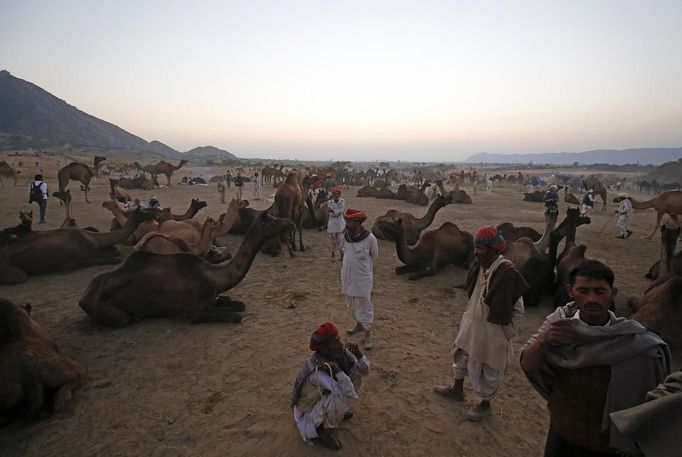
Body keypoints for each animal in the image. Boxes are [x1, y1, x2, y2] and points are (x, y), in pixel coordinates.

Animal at [0, 208, 153, 284]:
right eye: (143, 211)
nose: (154, 213)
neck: (93, 238)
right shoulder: (84, 259)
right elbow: (114, 258)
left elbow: (115, 252)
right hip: (13, 270)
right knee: (20, 276)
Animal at [77, 212, 294, 326]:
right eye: (272, 219)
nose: (289, 222)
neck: (214, 277)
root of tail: (84, 294)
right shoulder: (194, 311)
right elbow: (236, 316)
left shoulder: (213, 297)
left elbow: (239, 304)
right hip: (103, 308)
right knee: (124, 319)